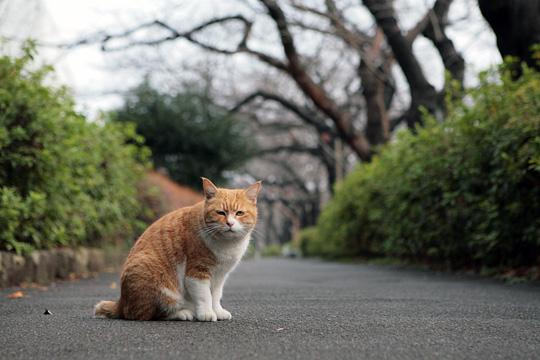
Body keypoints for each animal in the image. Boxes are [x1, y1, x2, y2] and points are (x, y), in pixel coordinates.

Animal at [94, 179, 262, 322]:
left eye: (239, 213)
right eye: (220, 212)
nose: (230, 223)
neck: (227, 245)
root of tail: (122, 302)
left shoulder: (220, 275)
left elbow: (215, 295)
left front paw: (218, 311)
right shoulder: (197, 273)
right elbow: (205, 296)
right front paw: (207, 313)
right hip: (155, 280)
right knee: (148, 314)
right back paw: (183, 313)